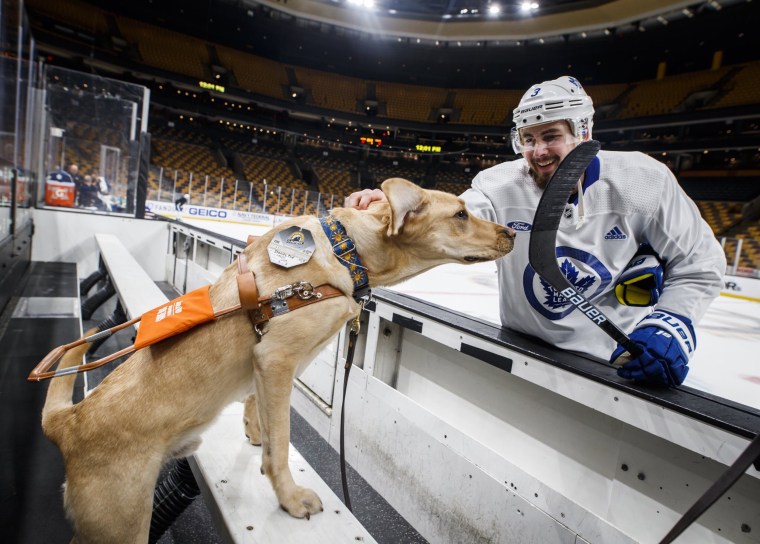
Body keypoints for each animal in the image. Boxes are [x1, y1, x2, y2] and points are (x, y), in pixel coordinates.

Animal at [43, 177, 516, 540]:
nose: (512, 233)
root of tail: (67, 423)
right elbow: (281, 445)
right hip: (120, 525)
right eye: (461, 214)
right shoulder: (277, 358)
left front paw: (254, 430)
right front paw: (289, 498)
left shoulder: (272, 361)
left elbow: (260, 412)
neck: (348, 252)